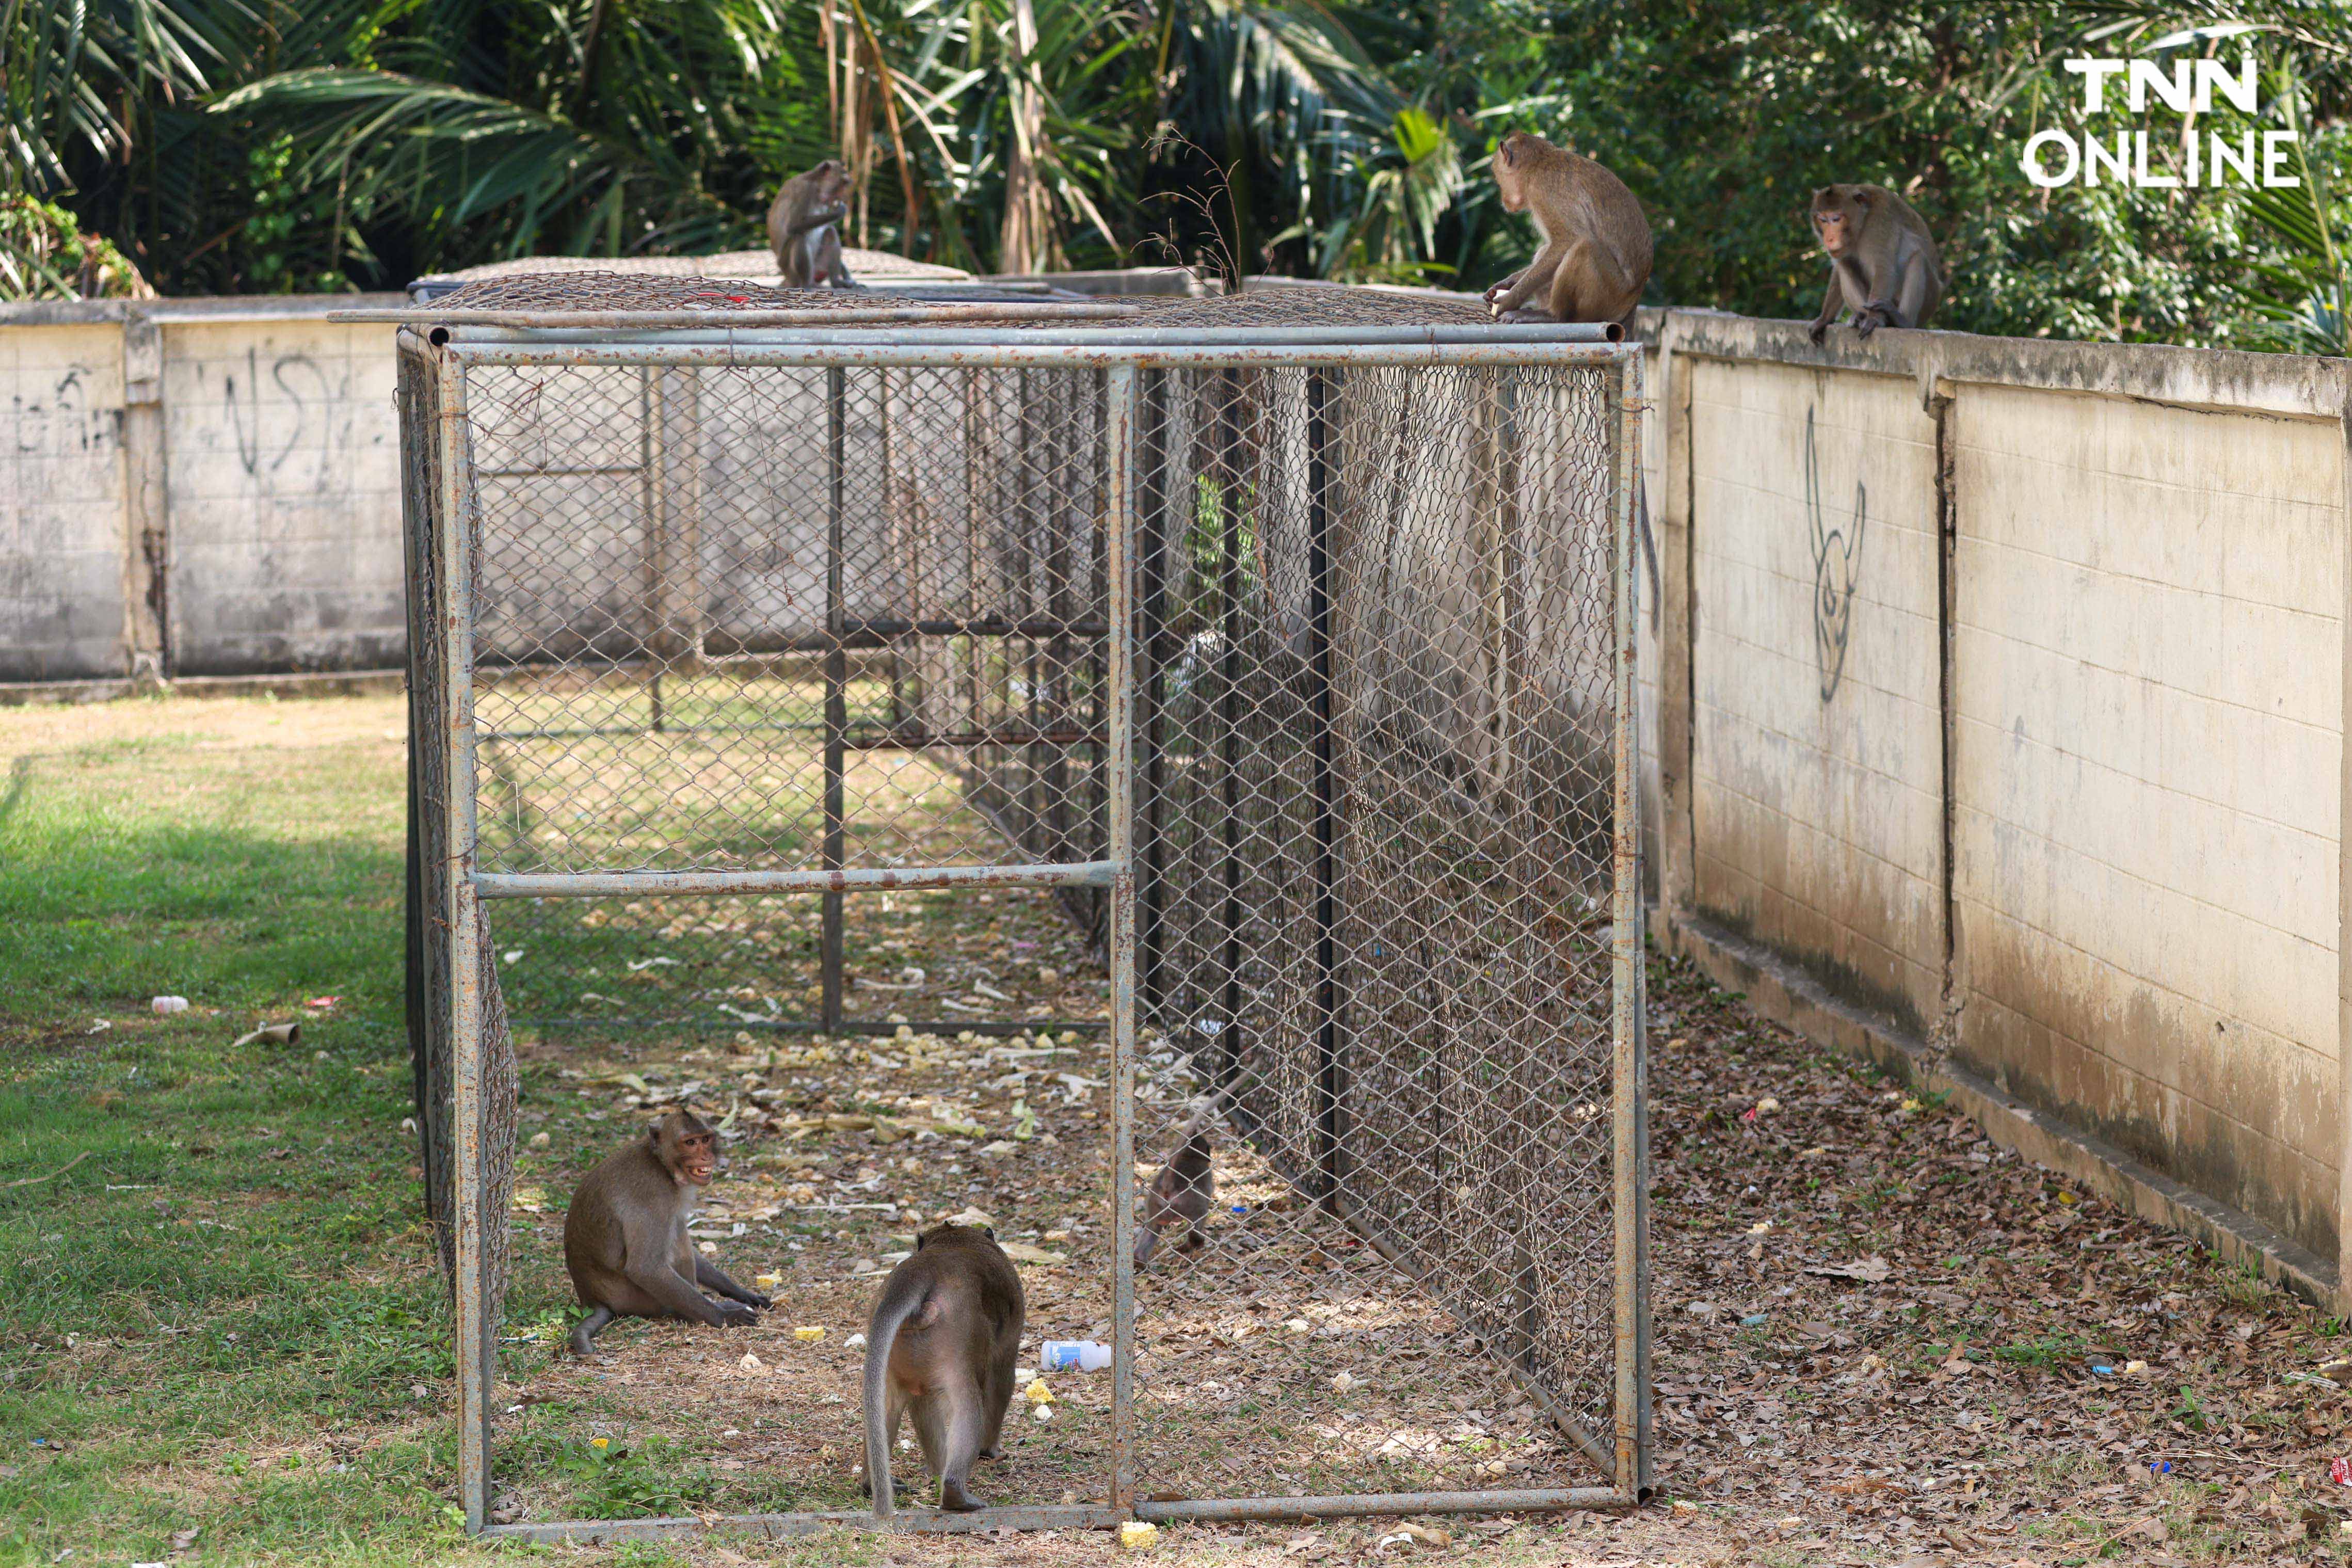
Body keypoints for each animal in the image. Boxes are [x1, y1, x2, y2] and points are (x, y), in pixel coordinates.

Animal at [562, 1105, 766, 1363]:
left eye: (705, 1139)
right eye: (690, 1142)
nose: (706, 1157)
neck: (661, 1164)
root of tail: (591, 1299)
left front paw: (740, 1292)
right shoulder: (654, 1195)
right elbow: (645, 1268)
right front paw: (724, 1317)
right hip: (640, 1300)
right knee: (676, 1236)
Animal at [766, 161, 860, 293]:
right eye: (842, 183)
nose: (844, 197)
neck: (817, 187)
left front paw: (847, 276)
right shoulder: (804, 190)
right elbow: (793, 225)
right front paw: (839, 212)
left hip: (819, 267)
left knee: (830, 233)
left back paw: (836, 282)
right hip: (788, 269)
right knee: (800, 235)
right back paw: (808, 284)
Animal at [856, 1222, 1020, 1523]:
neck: (953, 1240)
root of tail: (922, 1270)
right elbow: (1002, 1379)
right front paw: (989, 1450)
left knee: (893, 1405)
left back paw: (872, 1482)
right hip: (957, 1336)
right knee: (968, 1405)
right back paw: (955, 1490)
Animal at [1133, 1124, 1213, 1269]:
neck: (1189, 1156)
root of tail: (1168, 1187)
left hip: (1154, 1202)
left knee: (1153, 1227)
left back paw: (1140, 1260)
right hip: (1190, 1201)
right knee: (1200, 1214)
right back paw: (1195, 1242)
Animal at [1797, 185, 1947, 345]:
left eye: (1836, 219)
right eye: (1823, 220)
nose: (1829, 239)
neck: (1862, 222)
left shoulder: (1879, 221)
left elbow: (1883, 267)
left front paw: (1874, 318)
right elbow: (1839, 265)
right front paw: (1825, 319)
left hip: (1929, 301)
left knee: (1918, 258)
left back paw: (1902, 321)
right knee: (1845, 263)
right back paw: (1861, 316)